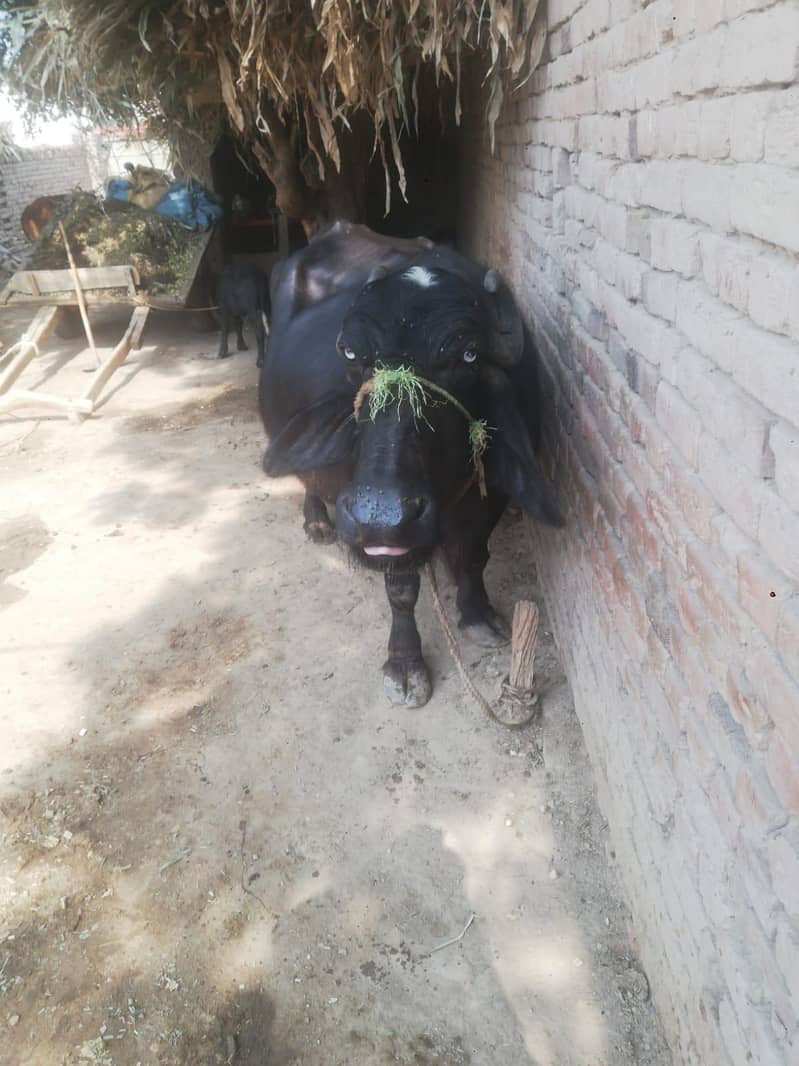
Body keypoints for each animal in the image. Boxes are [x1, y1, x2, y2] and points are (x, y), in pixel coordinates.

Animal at [260, 222, 562, 707]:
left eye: (468, 356)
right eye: (351, 354)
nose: (379, 513)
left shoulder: (492, 497)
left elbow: (474, 555)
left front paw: (477, 615)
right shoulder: (389, 535)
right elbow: (401, 589)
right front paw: (405, 664)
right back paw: (317, 522)